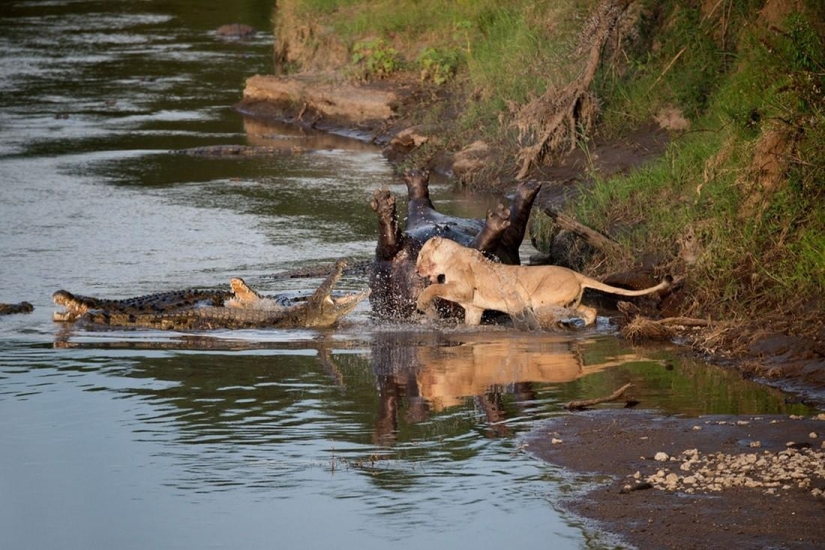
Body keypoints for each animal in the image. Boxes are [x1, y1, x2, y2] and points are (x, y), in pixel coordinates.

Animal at [415, 237, 671, 330]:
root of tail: (577, 274)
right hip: (571, 300)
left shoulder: (463, 289)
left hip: (542, 299)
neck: (450, 255)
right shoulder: (474, 307)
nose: (416, 270)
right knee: (591, 310)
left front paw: (422, 304)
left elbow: (435, 287)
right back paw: (586, 326)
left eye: (420, 255)